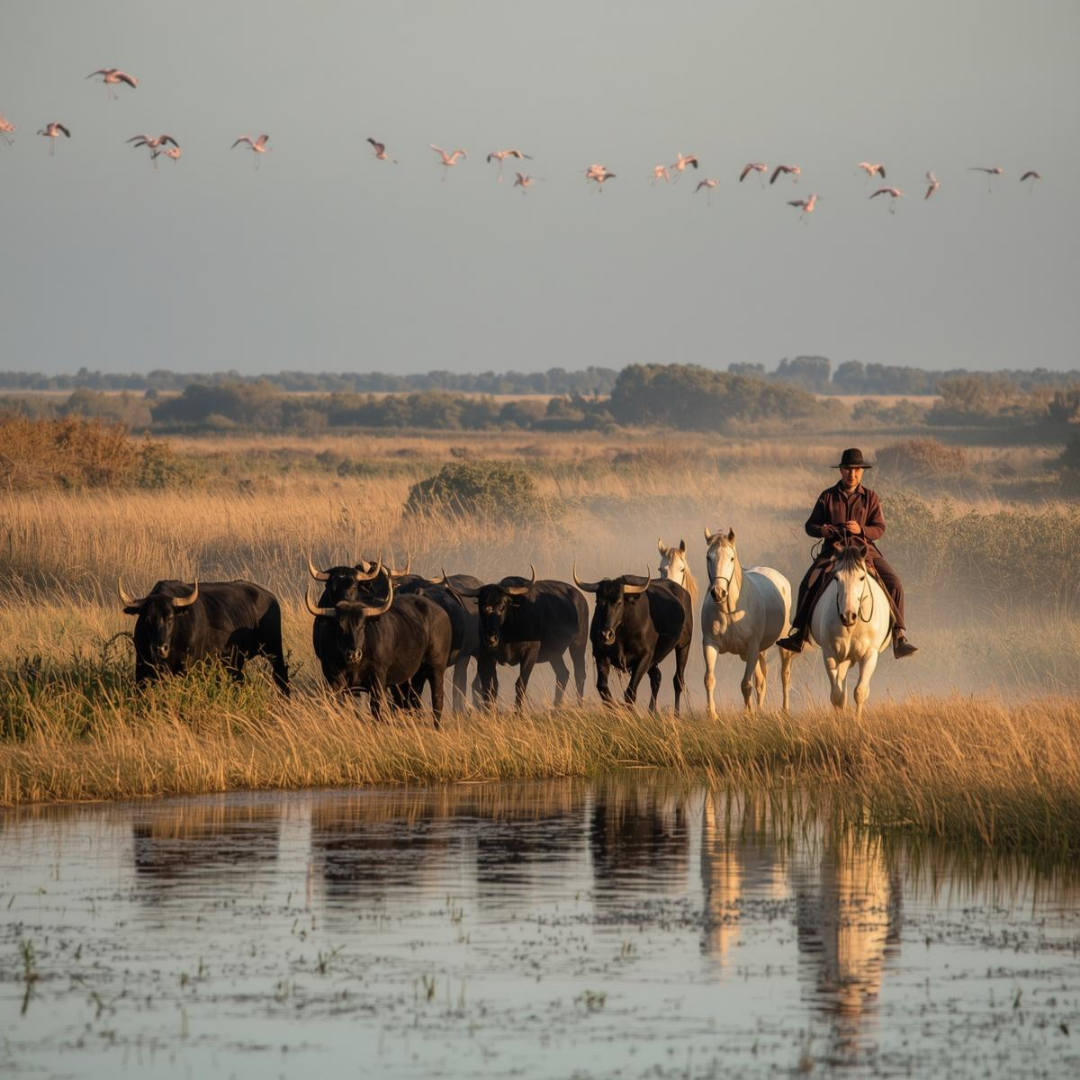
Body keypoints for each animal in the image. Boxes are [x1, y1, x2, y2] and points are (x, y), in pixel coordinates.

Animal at [702, 527, 794, 714]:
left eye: (731, 558)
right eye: (709, 557)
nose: (718, 593)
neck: (730, 611)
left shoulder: (752, 647)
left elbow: (746, 684)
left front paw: (747, 715)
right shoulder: (710, 643)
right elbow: (709, 679)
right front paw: (713, 715)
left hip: (779, 646)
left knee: (784, 676)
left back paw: (785, 710)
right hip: (759, 652)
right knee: (761, 681)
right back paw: (759, 710)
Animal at [807, 539, 891, 720]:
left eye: (862, 577)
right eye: (836, 577)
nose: (848, 616)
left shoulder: (870, 655)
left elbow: (860, 692)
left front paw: (857, 723)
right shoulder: (830, 654)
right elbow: (837, 696)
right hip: (843, 657)